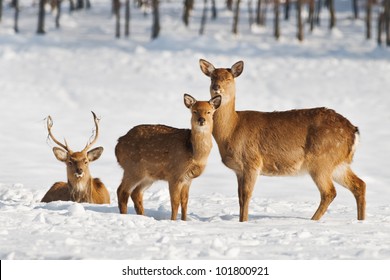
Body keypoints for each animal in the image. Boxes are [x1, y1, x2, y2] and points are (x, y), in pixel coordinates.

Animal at [200, 58, 368, 221]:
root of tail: (353, 131)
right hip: (339, 163)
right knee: (359, 185)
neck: (232, 130)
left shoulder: (252, 162)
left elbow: (246, 196)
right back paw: (360, 220)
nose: (216, 87)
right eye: (212, 77)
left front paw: (244, 222)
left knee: (329, 192)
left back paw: (312, 220)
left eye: (228, 78)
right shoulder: (239, 170)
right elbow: (240, 198)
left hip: (321, 160)